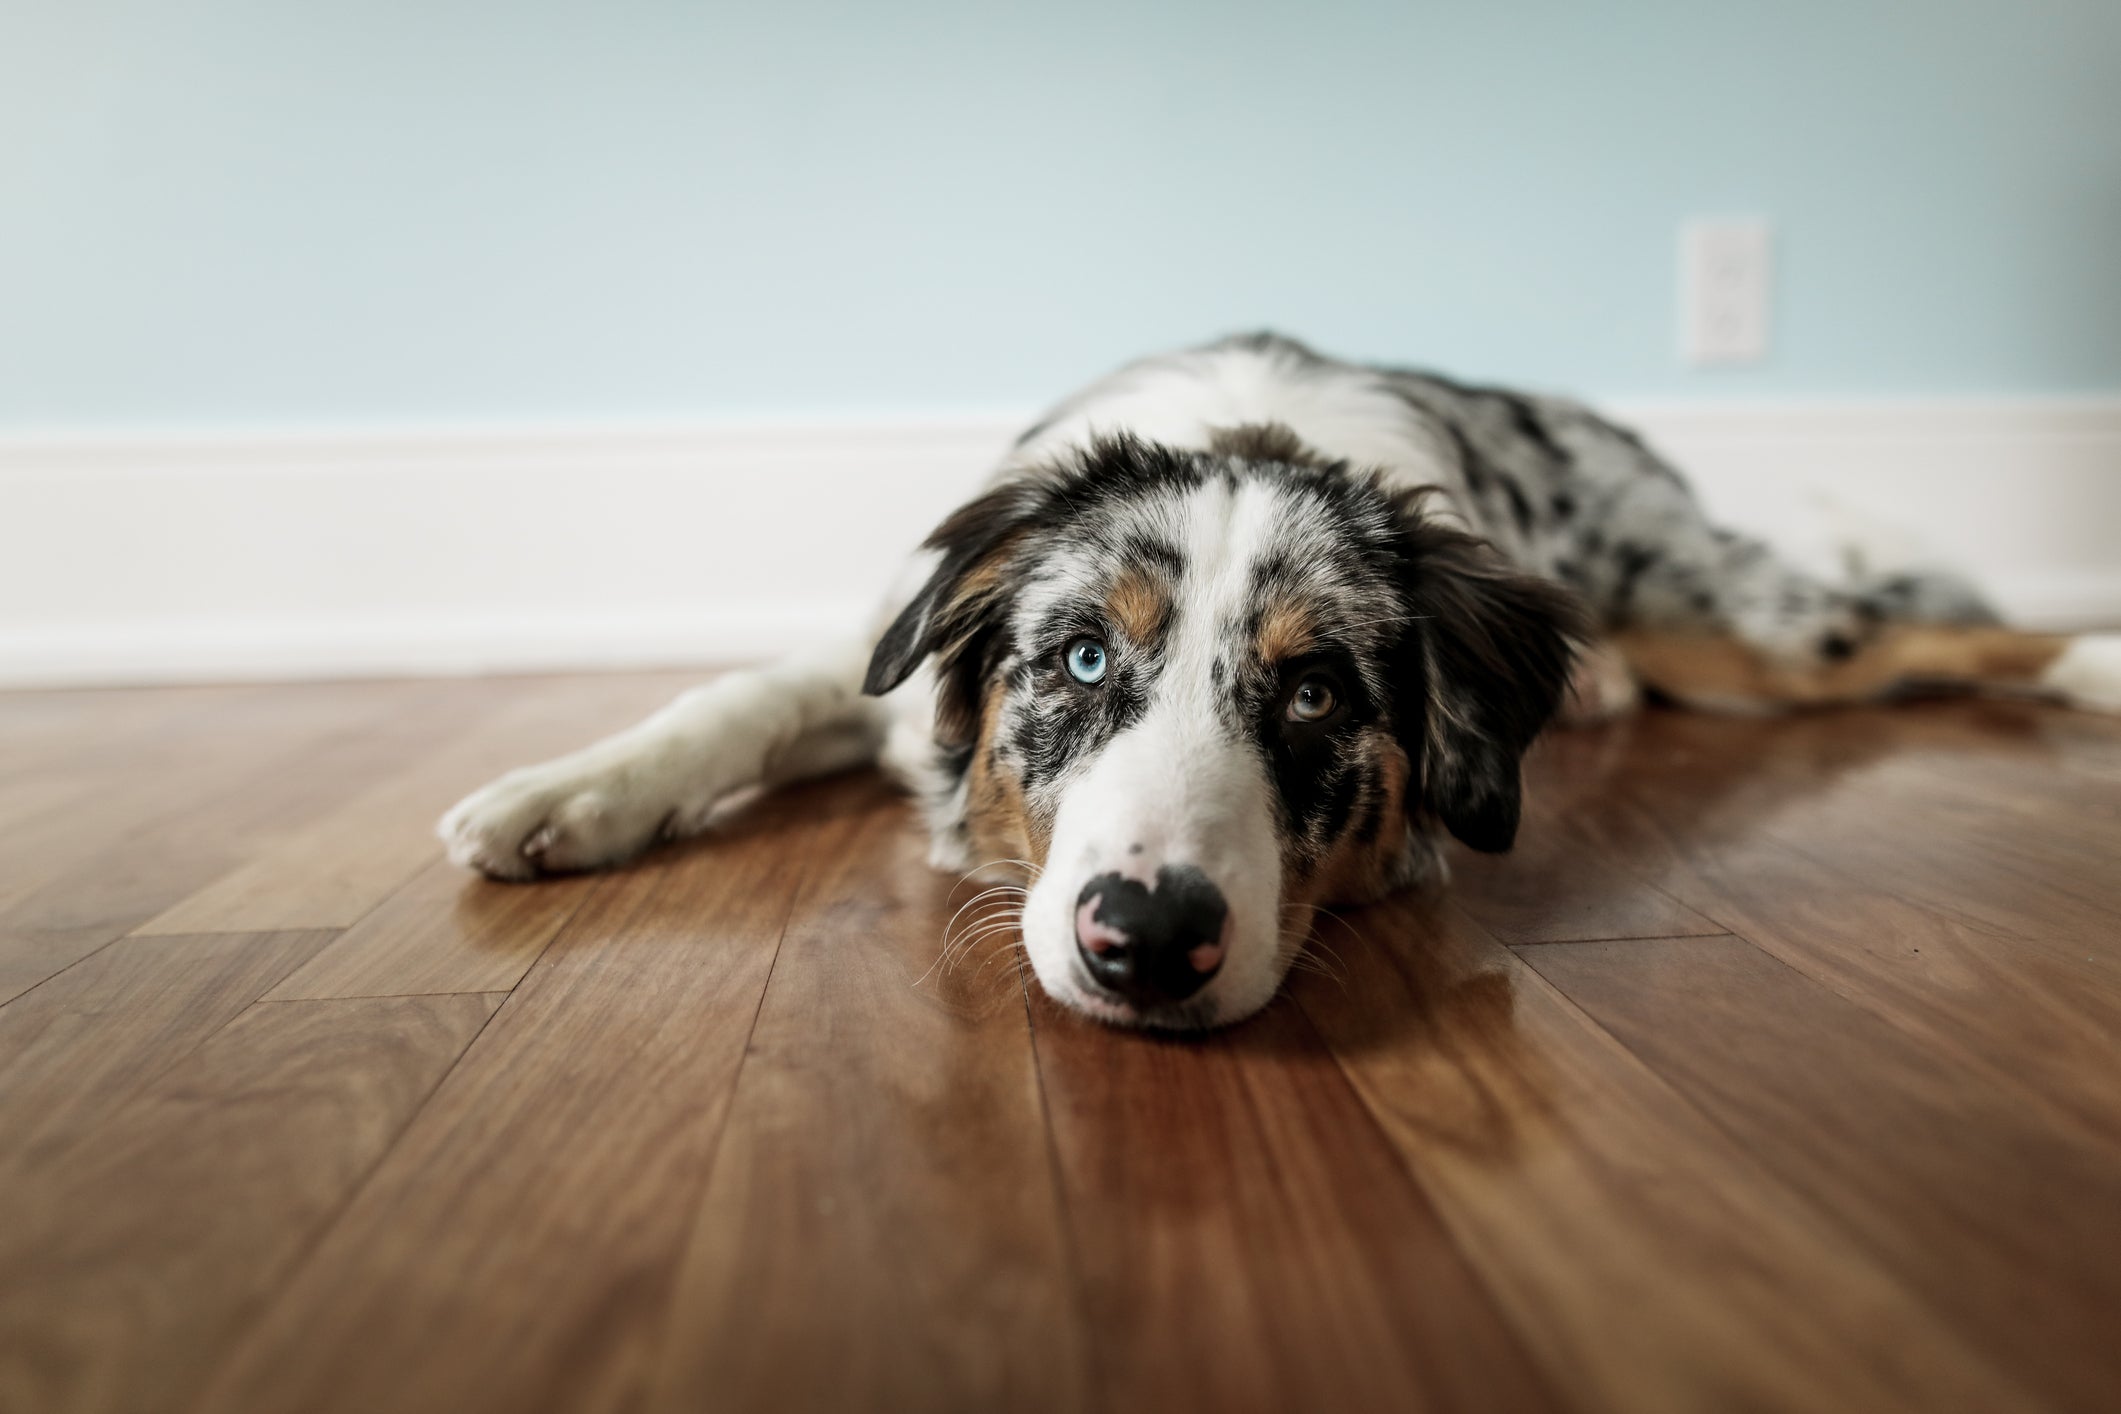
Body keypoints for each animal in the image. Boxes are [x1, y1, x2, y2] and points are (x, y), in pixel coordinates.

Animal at [434, 337, 2121, 1034]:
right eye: (1081, 658)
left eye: (1315, 696)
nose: (1146, 941)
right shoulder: (886, 664)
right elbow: (727, 697)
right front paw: (556, 796)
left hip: (1746, 626)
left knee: (1928, 632)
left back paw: (2097, 660)